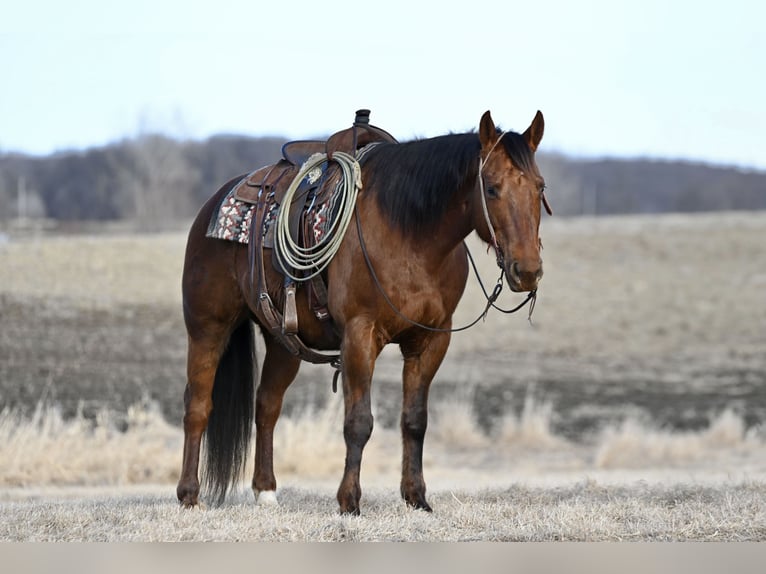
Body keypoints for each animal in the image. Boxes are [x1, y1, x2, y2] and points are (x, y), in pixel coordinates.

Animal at [177, 110, 548, 516]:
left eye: (539, 187)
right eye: (492, 188)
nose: (527, 271)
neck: (410, 234)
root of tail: (215, 202)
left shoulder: (430, 340)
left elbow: (414, 420)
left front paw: (416, 497)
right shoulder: (360, 334)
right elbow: (358, 422)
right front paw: (349, 501)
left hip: (283, 342)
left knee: (267, 406)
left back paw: (266, 491)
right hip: (208, 328)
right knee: (198, 405)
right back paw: (189, 494)